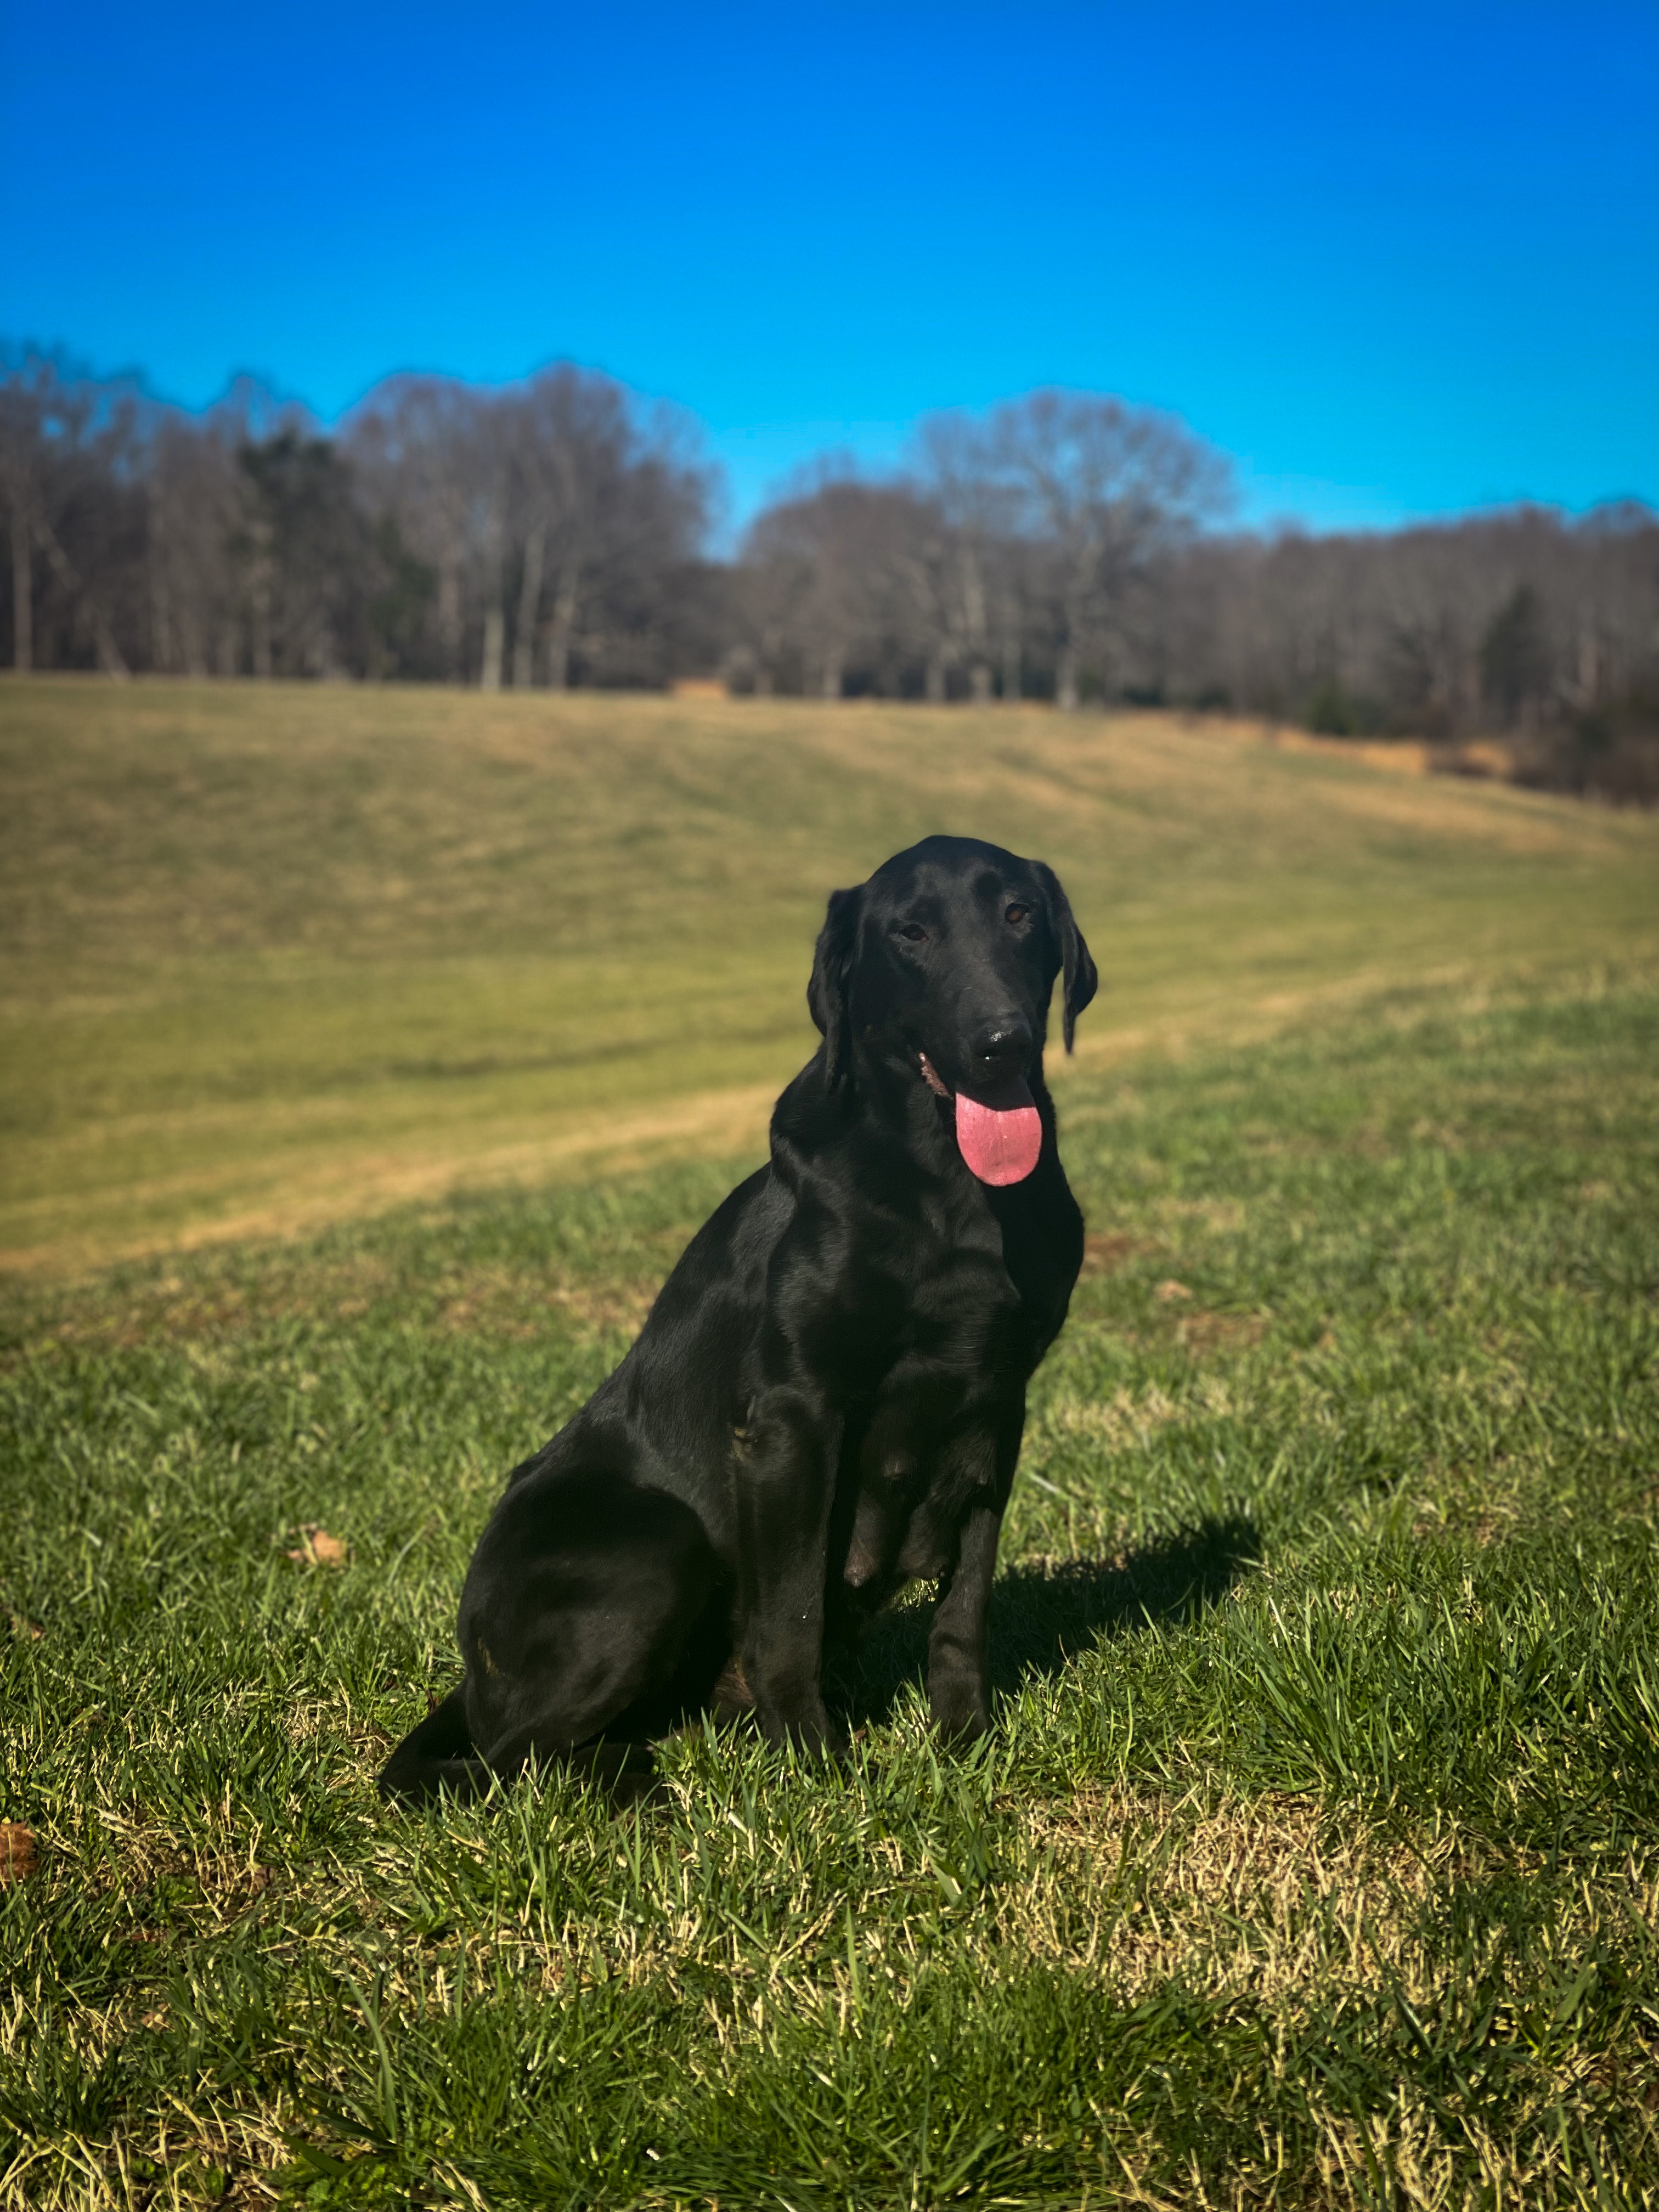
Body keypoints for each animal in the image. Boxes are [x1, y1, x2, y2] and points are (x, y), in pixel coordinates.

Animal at [382, 832, 1097, 1796]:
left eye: (1020, 914)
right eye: (910, 933)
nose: (1001, 1043)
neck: (950, 1187)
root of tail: (469, 1671)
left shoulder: (997, 1406)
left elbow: (966, 1606)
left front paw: (966, 1743)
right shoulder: (793, 1416)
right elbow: (789, 1615)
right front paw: (816, 1769)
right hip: (656, 1545)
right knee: (506, 1759)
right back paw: (634, 1780)